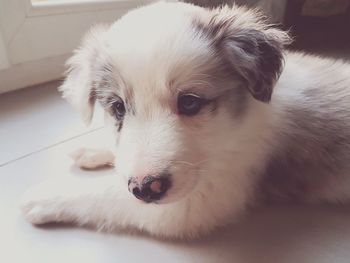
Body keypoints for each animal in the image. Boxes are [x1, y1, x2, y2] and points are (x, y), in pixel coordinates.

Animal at [19, 1, 350, 240]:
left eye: (190, 102)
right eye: (118, 109)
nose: (145, 188)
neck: (237, 126)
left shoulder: (187, 207)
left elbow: (105, 195)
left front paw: (46, 196)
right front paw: (92, 149)